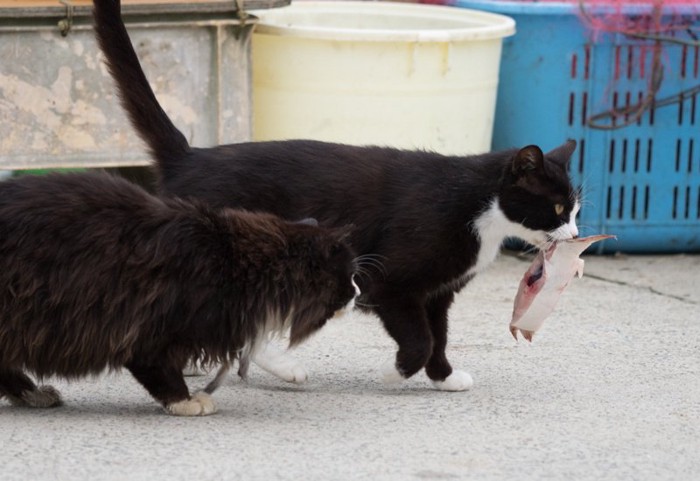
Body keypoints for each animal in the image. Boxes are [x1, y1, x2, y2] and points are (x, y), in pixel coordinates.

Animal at [0, 172, 358, 412]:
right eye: (349, 275)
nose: (357, 292)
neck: (231, 259)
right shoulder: (150, 331)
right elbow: (161, 372)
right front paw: (185, 401)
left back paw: (33, 395)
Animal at [95, 0, 584, 390]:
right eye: (558, 208)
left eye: (577, 209)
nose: (577, 235)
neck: (480, 207)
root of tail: (189, 156)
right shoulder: (389, 282)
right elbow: (420, 338)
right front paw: (395, 373)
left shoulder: (438, 292)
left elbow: (439, 335)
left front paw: (444, 377)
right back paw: (283, 368)